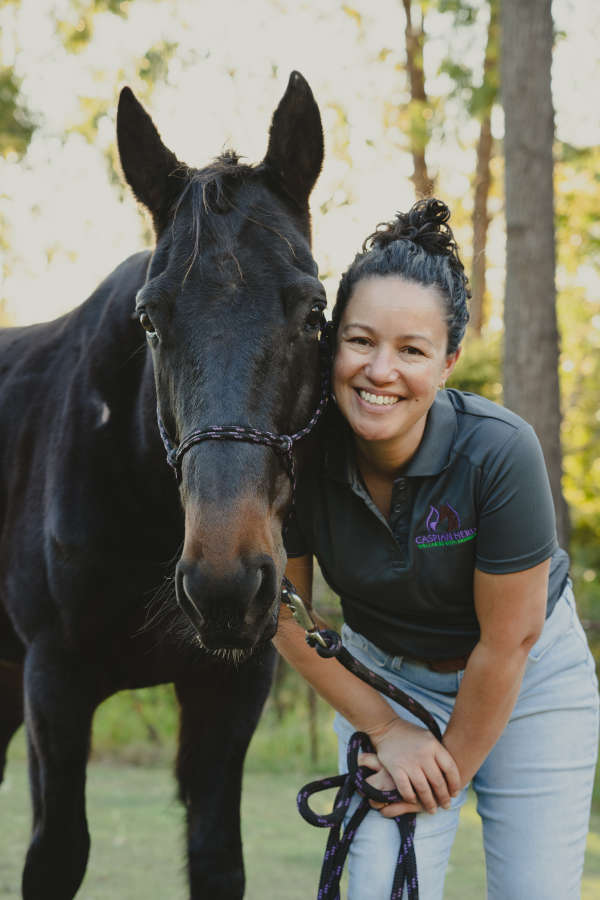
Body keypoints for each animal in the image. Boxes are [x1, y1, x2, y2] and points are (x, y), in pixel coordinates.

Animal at [0, 72, 326, 900]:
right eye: (150, 318)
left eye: (313, 310)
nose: (224, 581)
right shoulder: (54, 683)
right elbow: (56, 854)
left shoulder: (229, 690)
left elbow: (216, 858)